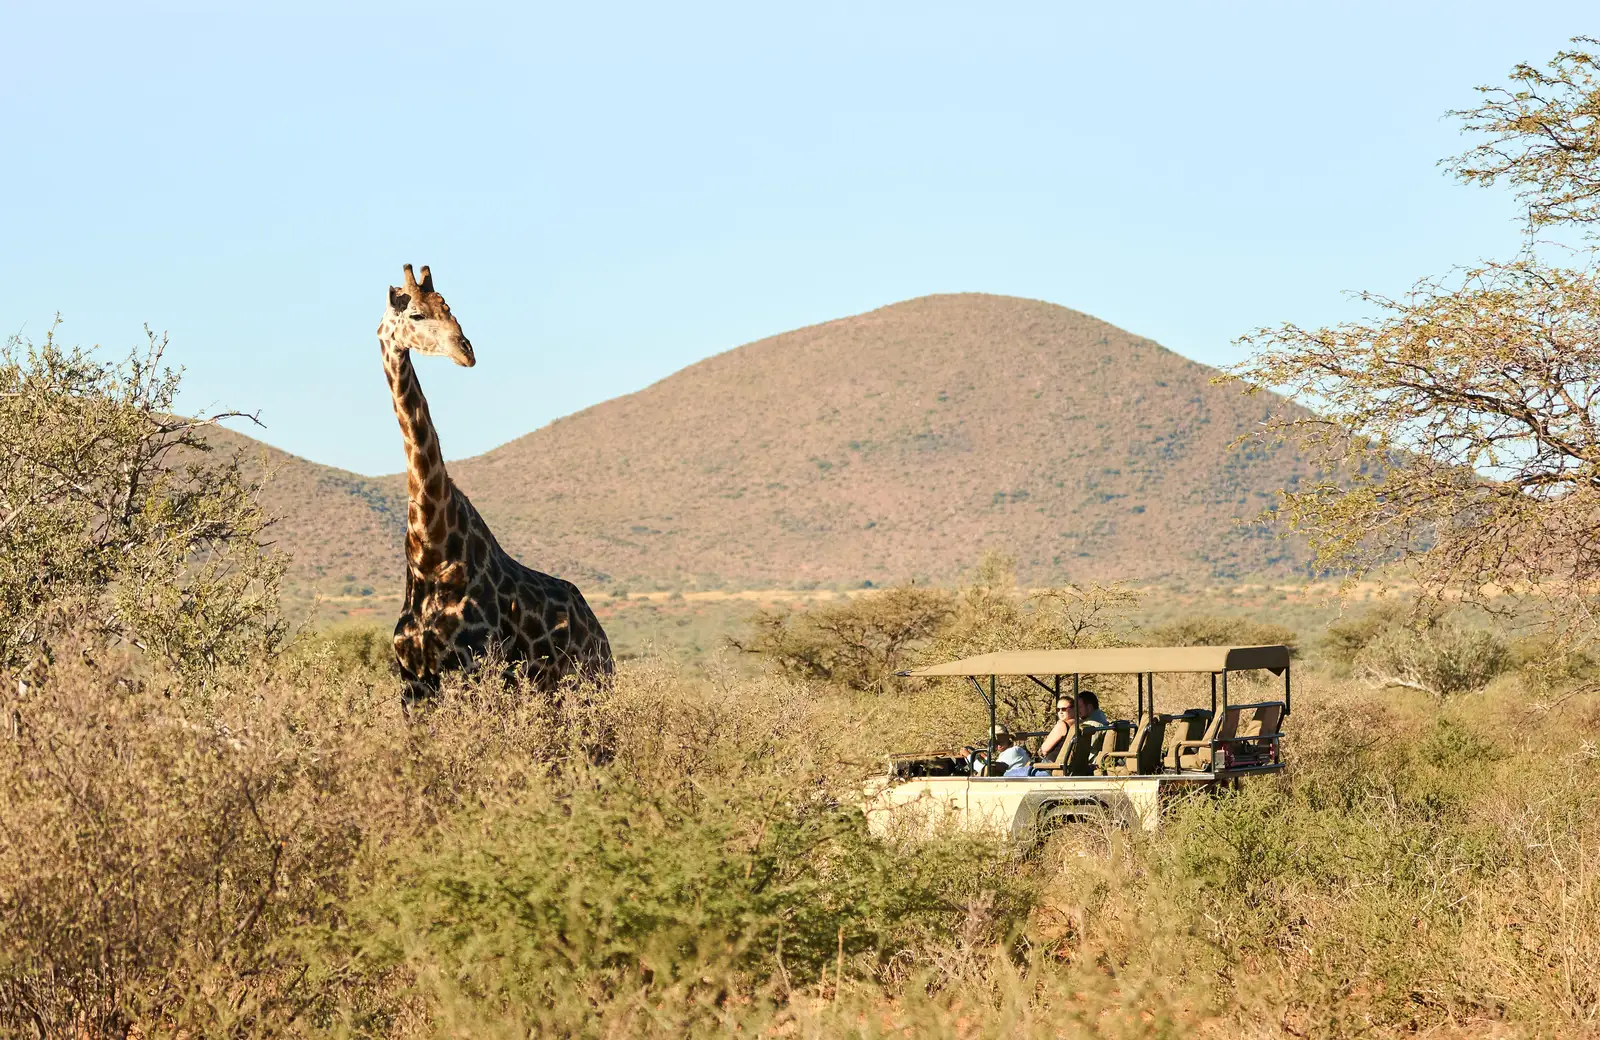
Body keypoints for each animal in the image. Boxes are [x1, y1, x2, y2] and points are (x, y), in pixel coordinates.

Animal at [378, 263, 613, 710]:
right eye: (416, 314)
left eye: (449, 308)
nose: (466, 351)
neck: (430, 552)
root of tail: (600, 634)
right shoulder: (413, 682)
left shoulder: (473, 667)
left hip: (588, 685)